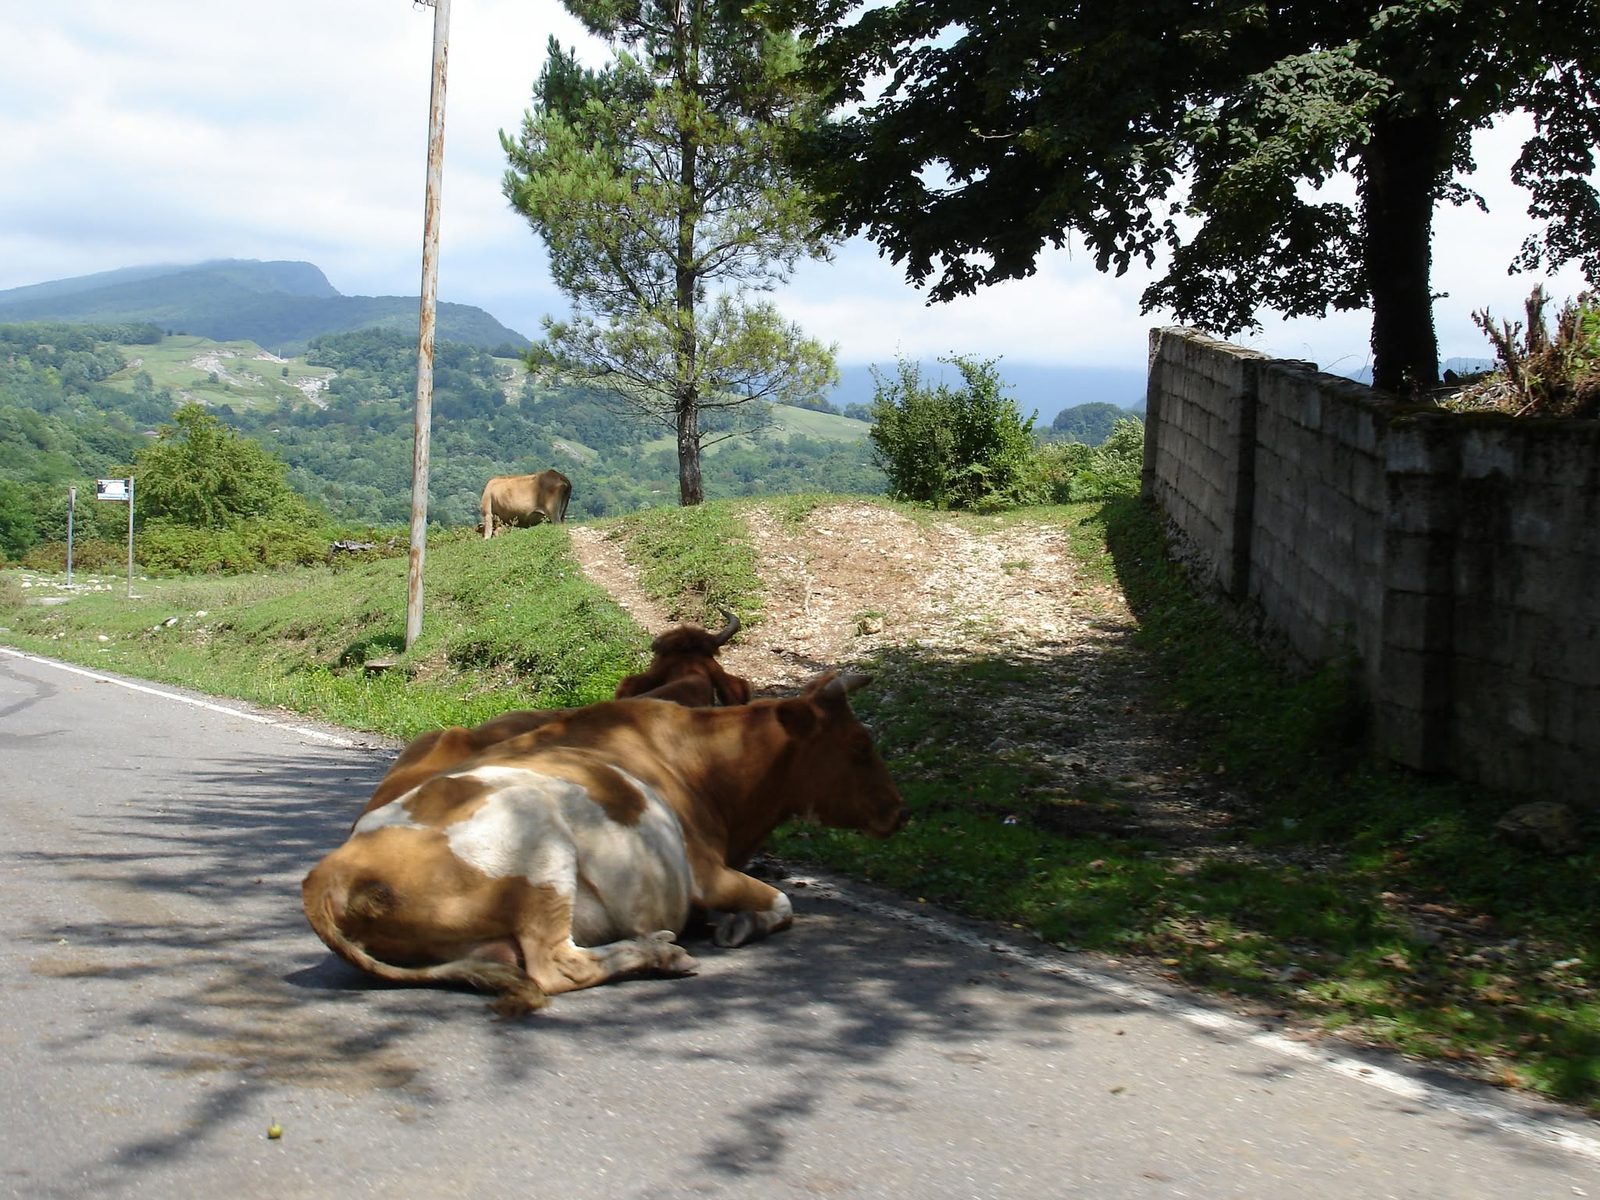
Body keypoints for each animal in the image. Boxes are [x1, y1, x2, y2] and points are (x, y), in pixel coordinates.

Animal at [302, 671, 905, 1015]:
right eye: (859, 746)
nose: (900, 811)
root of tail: (329, 871)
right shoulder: (705, 872)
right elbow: (782, 903)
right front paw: (739, 925)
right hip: (541, 853)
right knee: (554, 966)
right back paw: (658, 951)